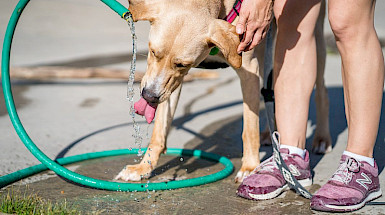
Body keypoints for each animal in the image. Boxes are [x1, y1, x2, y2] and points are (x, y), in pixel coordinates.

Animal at [115, 0, 330, 183]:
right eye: (153, 52)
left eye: (182, 64)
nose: (148, 96)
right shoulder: (169, 84)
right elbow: (159, 130)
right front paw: (143, 167)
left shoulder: (249, 70)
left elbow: (249, 129)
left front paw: (249, 167)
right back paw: (270, 134)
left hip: (312, 38)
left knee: (321, 89)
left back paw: (322, 138)